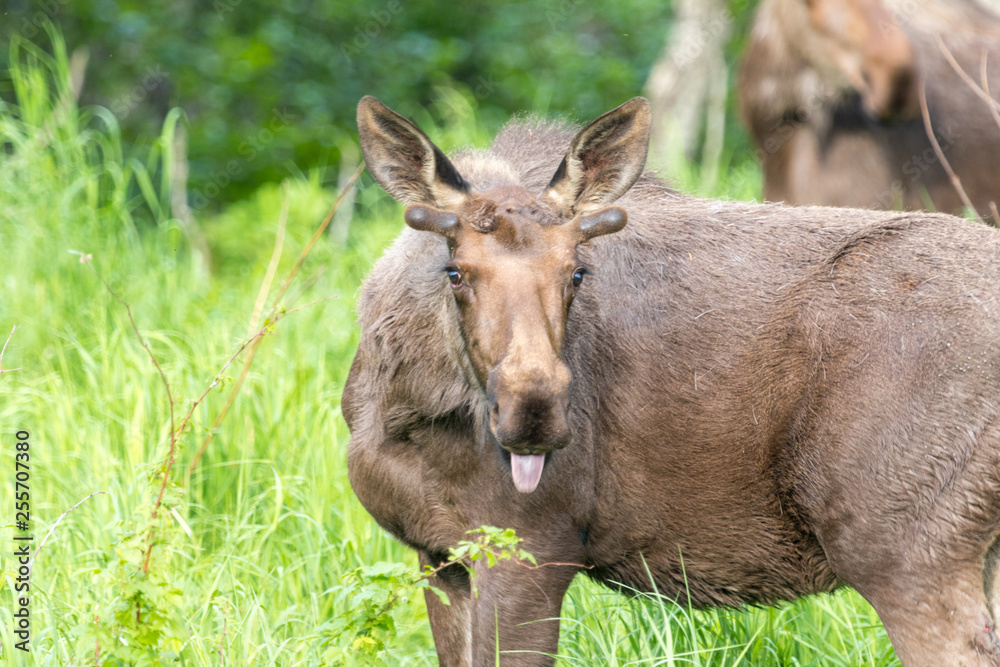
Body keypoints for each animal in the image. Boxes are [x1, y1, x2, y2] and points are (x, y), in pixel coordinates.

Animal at [344, 94, 1000, 665]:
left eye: (577, 271)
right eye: (455, 270)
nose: (534, 409)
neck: (405, 412)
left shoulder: (531, 546)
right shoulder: (439, 555)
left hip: (903, 546)